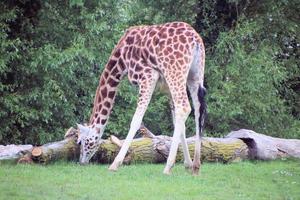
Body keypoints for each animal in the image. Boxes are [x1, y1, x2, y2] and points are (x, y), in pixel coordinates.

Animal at [76, 21, 206, 175]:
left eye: (82, 141)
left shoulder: (148, 76)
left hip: (175, 72)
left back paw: (167, 167)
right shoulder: (166, 89)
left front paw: (115, 164)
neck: (121, 61)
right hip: (194, 75)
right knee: (198, 109)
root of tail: (195, 40)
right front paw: (187, 164)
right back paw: (196, 166)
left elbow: (136, 120)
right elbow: (179, 124)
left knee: (185, 107)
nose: (81, 161)